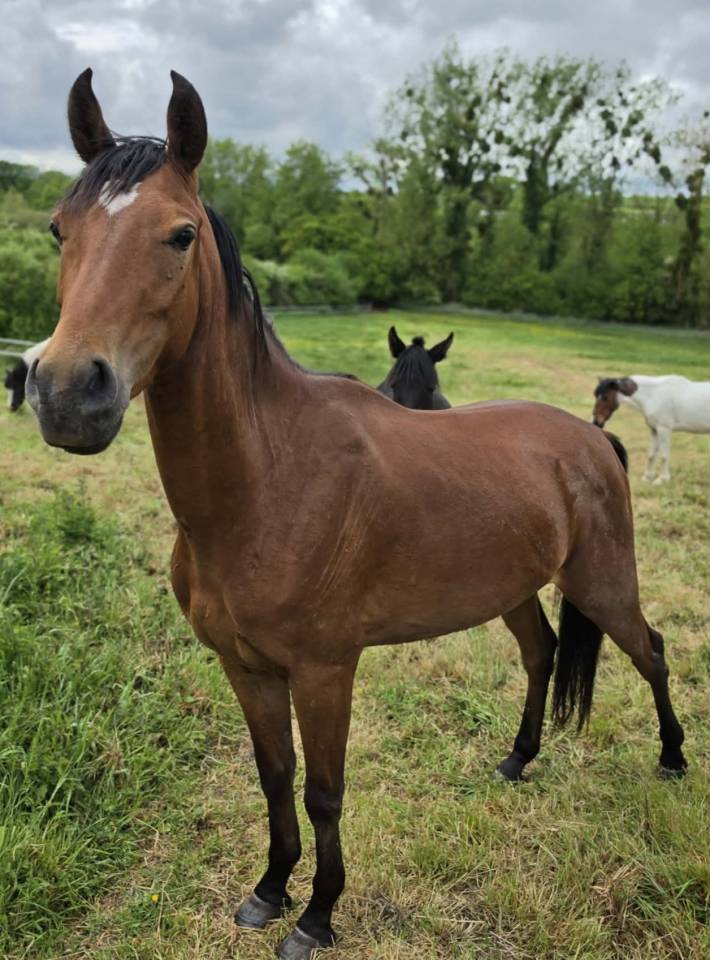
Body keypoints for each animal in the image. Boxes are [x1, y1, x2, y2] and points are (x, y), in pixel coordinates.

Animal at [27, 70, 686, 960]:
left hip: (606, 583)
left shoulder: (325, 669)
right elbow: (274, 777)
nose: (68, 394)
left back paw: (673, 759)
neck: (266, 482)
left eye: (180, 235)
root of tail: (591, 437)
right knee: (543, 653)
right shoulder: (247, 667)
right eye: (59, 230)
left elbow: (325, 791)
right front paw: (270, 890)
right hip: (515, 589)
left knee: (650, 650)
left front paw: (317, 915)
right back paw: (517, 760)